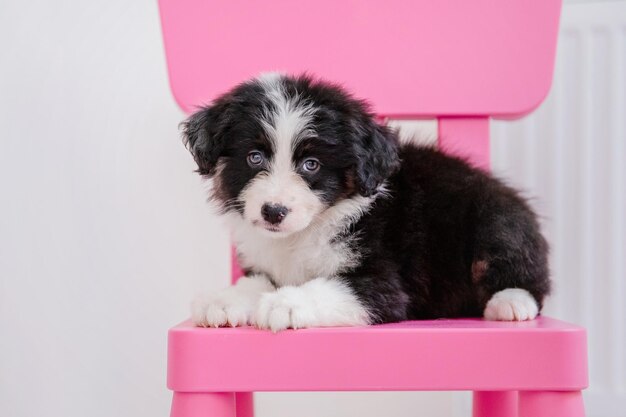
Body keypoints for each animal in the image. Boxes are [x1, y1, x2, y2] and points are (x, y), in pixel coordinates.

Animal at [183, 73, 548, 330]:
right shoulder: (268, 265)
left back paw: (511, 303)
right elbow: (255, 282)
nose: (273, 212)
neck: (306, 232)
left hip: (497, 221)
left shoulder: (385, 284)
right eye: (255, 157)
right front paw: (223, 300)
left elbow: (331, 288)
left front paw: (285, 304)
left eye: (311, 164)